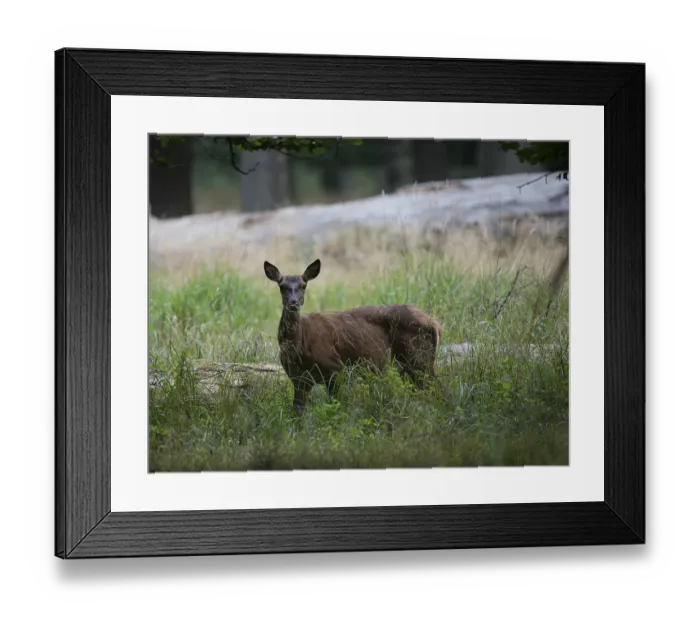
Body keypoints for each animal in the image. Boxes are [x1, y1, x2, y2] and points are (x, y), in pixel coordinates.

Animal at [264, 258, 443, 414]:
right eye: (282, 286)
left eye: (303, 285)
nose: (293, 303)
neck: (300, 346)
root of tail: (435, 324)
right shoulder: (299, 379)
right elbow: (297, 412)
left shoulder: (336, 367)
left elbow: (337, 405)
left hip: (419, 358)